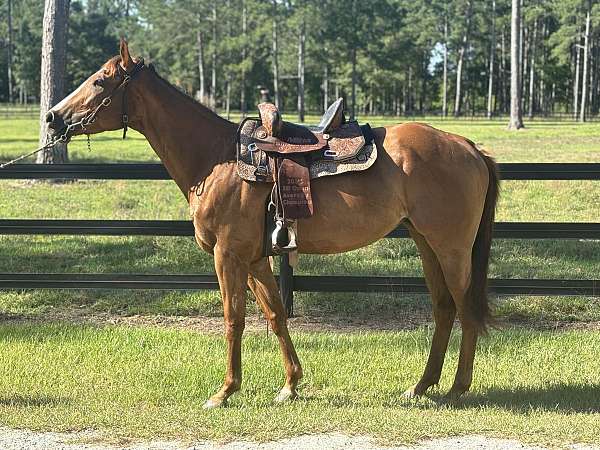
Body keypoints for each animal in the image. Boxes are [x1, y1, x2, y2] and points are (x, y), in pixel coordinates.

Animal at [45, 41, 496, 408]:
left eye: (100, 81)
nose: (52, 118)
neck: (217, 160)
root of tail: (468, 146)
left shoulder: (228, 257)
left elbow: (233, 319)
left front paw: (224, 391)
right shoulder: (256, 259)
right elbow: (276, 315)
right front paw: (291, 385)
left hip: (452, 250)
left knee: (465, 309)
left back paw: (457, 388)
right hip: (427, 245)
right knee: (443, 310)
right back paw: (420, 387)